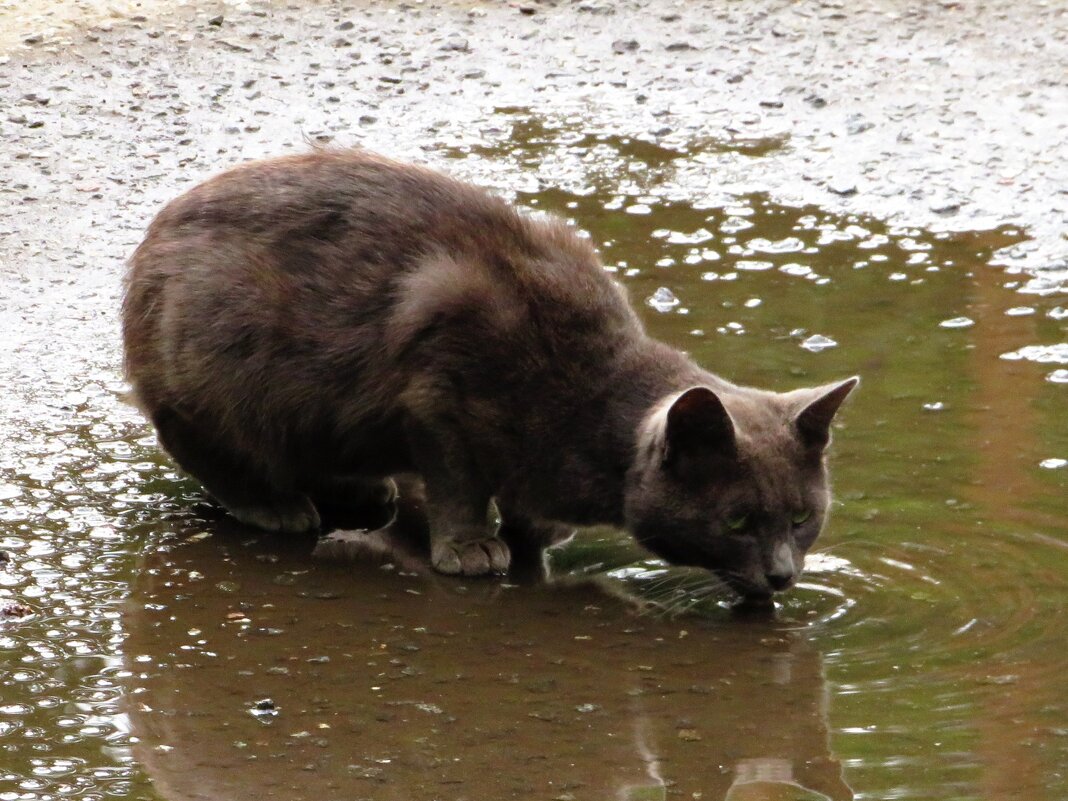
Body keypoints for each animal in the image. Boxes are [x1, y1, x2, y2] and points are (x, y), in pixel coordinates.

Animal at [122, 149, 858, 602]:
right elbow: (458, 479)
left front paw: (536, 528)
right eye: (737, 520)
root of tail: (154, 234)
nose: (783, 574)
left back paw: (363, 491)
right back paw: (274, 504)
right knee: (198, 442)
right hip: (218, 362)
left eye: (801, 517)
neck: (590, 406)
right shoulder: (438, 390)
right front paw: (474, 545)